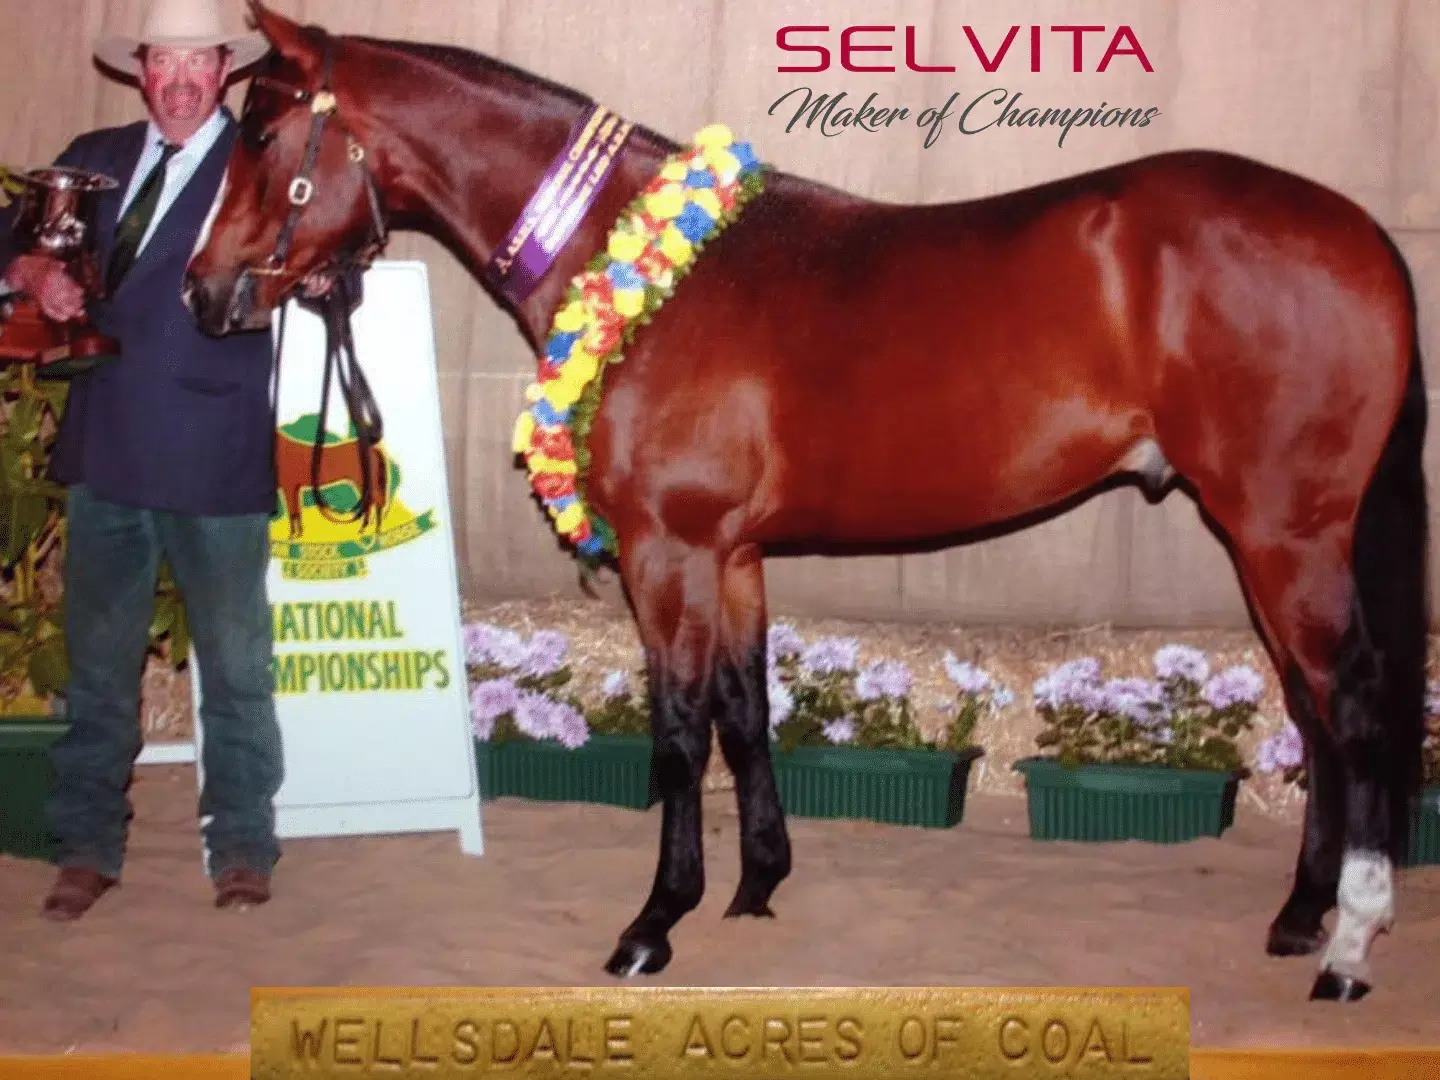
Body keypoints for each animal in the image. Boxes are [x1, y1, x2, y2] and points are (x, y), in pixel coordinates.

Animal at [184, 1, 1429, 1002]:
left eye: (261, 135)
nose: (204, 293)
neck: (644, 271)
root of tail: (1363, 233)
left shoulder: (670, 553)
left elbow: (679, 736)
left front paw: (653, 926)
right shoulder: (732, 558)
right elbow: (746, 712)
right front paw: (756, 888)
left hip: (1283, 536)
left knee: (1356, 710)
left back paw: (1349, 949)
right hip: (1269, 542)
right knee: (1314, 716)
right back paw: (1299, 916)